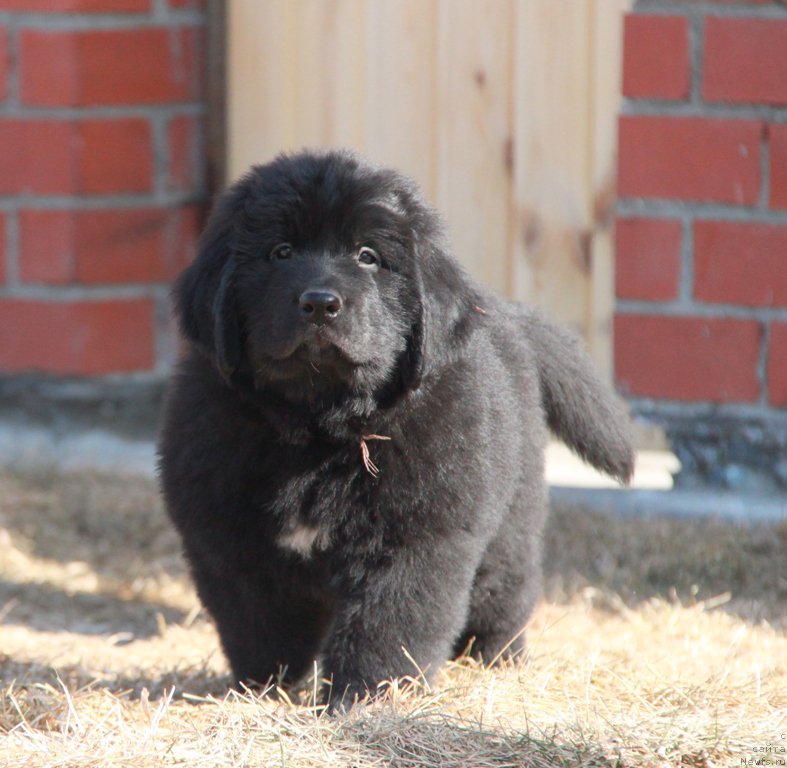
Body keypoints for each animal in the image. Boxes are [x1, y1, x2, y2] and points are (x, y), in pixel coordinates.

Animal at [159, 148, 636, 708]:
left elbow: (387, 624)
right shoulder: (230, 537)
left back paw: (498, 660)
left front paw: (366, 698)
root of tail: (505, 312)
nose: (320, 303)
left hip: (509, 522)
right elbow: (259, 621)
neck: (319, 430)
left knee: (505, 594)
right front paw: (264, 688)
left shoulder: (413, 539)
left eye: (368, 256)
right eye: (280, 252)